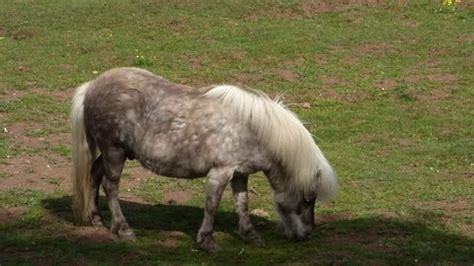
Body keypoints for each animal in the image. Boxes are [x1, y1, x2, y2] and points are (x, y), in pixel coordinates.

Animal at [69, 66, 336, 251]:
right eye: (307, 199)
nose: (306, 235)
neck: (251, 128)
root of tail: (91, 87)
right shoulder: (220, 172)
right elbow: (212, 205)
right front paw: (206, 241)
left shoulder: (240, 173)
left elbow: (242, 203)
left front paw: (250, 235)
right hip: (114, 151)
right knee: (110, 186)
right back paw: (124, 230)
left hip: (114, 153)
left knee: (94, 175)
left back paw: (95, 218)